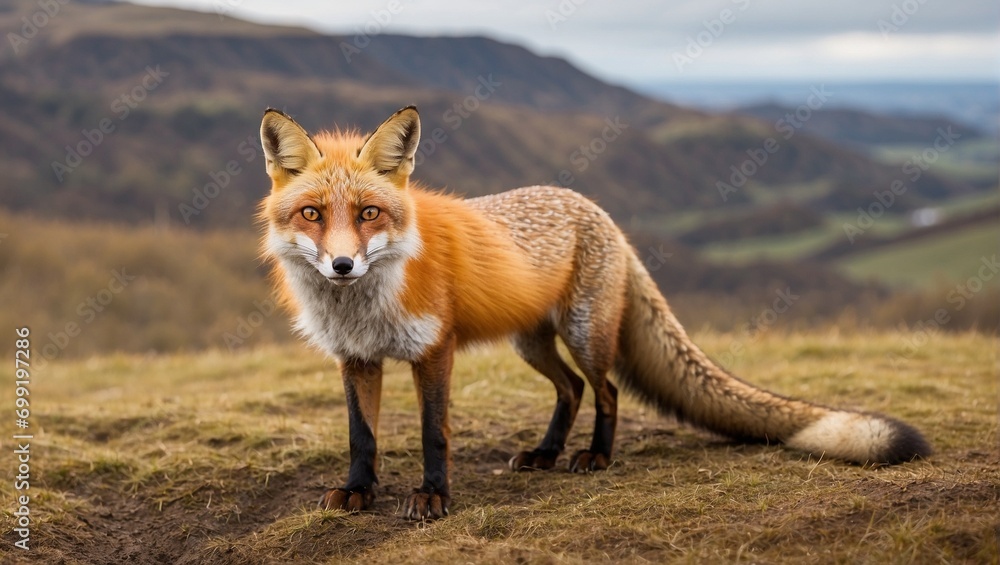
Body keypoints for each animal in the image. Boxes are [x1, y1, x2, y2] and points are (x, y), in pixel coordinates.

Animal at [257, 105, 931, 521]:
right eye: (312, 214)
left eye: (369, 213)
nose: (342, 265)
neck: (362, 305)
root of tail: (599, 210)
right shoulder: (357, 359)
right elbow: (362, 435)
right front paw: (358, 492)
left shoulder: (434, 350)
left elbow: (434, 433)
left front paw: (432, 498)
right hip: (532, 343)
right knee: (572, 389)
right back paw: (546, 453)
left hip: (584, 333)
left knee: (605, 390)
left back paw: (596, 457)